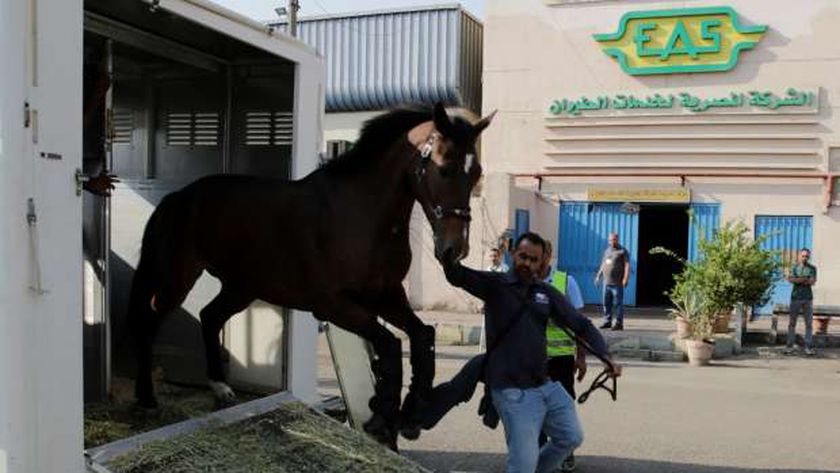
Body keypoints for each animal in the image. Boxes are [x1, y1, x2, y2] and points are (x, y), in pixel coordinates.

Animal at [129, 102, 496, 446]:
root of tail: (179, 197)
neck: (362, 213)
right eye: (444, 169)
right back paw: (146, 399)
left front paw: (411, 413)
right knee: (148, 321)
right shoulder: (332, 305)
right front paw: (381, 419)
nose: (454, 250)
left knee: (209, 316)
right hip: (179, 278)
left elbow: (422, 336)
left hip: (242, 287)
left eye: (476, 171)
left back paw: (221, 388)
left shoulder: (387, 295)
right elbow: (390, 345)